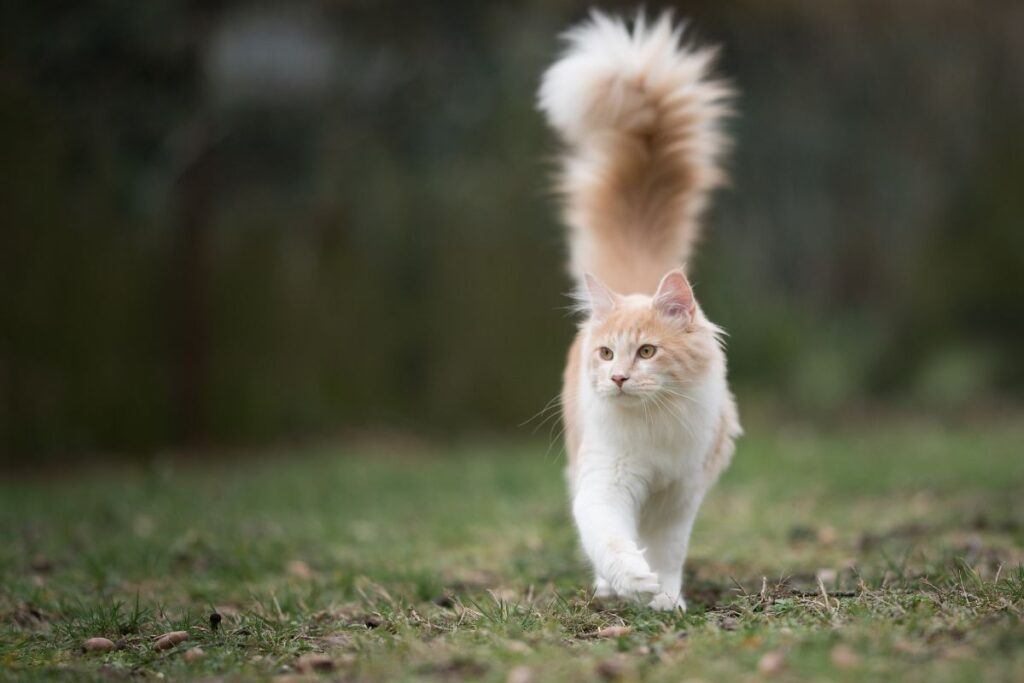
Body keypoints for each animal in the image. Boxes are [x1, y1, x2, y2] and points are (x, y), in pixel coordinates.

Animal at [536, 10, 745, 610]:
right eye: (607, 354)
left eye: (647, 351)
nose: (620, 378)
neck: (652, 429)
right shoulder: (605, 482)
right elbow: (610, 537)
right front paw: (630, 581)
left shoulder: (679, 494)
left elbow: (668, 552)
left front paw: (666, 598)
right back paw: (609, 588)